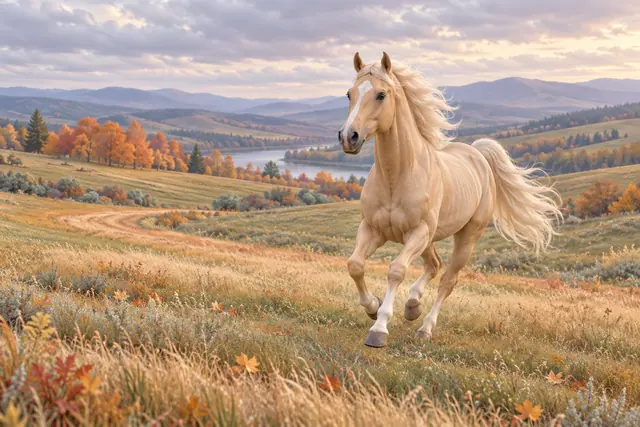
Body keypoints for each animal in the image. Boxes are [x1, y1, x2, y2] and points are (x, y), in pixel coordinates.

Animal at [339, 52, 562, 348]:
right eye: (349, 94)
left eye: (381, 94)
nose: (348, 137)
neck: (397, 175)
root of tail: (478, 155)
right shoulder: (373, 229)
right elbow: (355, 265)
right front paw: (372, 307)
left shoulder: (418, 232)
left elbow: (396, 270)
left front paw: (379, 328)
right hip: (429, 239)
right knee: (434, 266)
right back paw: (412, 305)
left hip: (464, 237)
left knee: (447, 279)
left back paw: (425, 327)